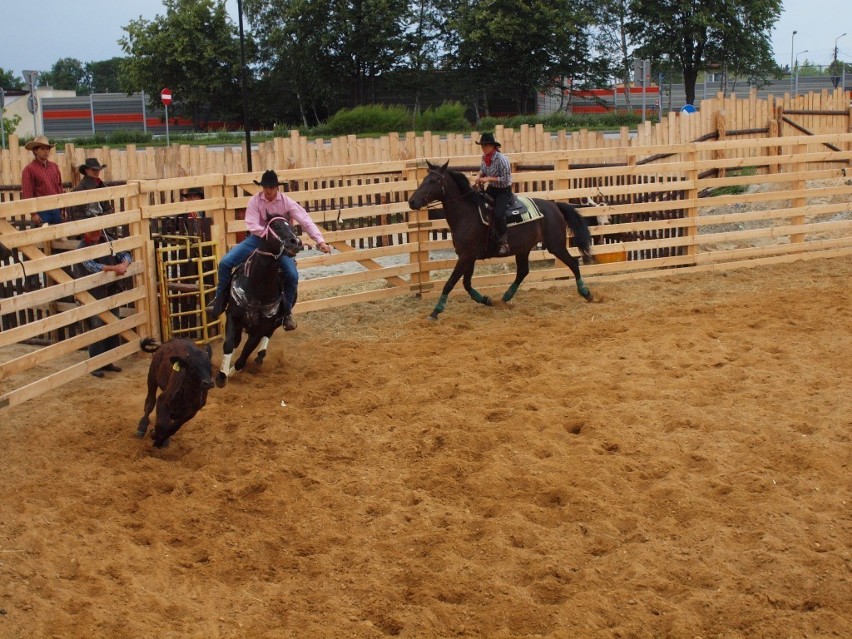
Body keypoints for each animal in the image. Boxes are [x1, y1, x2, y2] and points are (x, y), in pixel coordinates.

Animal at [216, 215, 302, 388]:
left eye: (293, 227)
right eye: (276, 226)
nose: (295, 242)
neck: (256, 286)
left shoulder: (261, 328)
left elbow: (244, 356)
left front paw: (230, 372)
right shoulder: (233, 317)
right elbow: (229, 344)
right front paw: (221, 376)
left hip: (275, 322)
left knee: (266, 337)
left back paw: (259, 357)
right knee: (236, 342)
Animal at [406, 160, 592, 320]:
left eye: (434, 180)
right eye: (424, 179)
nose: (412, 201)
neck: (468, 214)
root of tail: (555, 206)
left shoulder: (466, 256)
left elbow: (450, 283)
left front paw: (435, 311)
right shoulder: (468, 256)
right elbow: (466, 283)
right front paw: (486, 300)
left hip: (556, 245)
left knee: (573, 264)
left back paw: (586, 293)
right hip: (524, 248)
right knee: (523, 271)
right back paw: (506, 297)